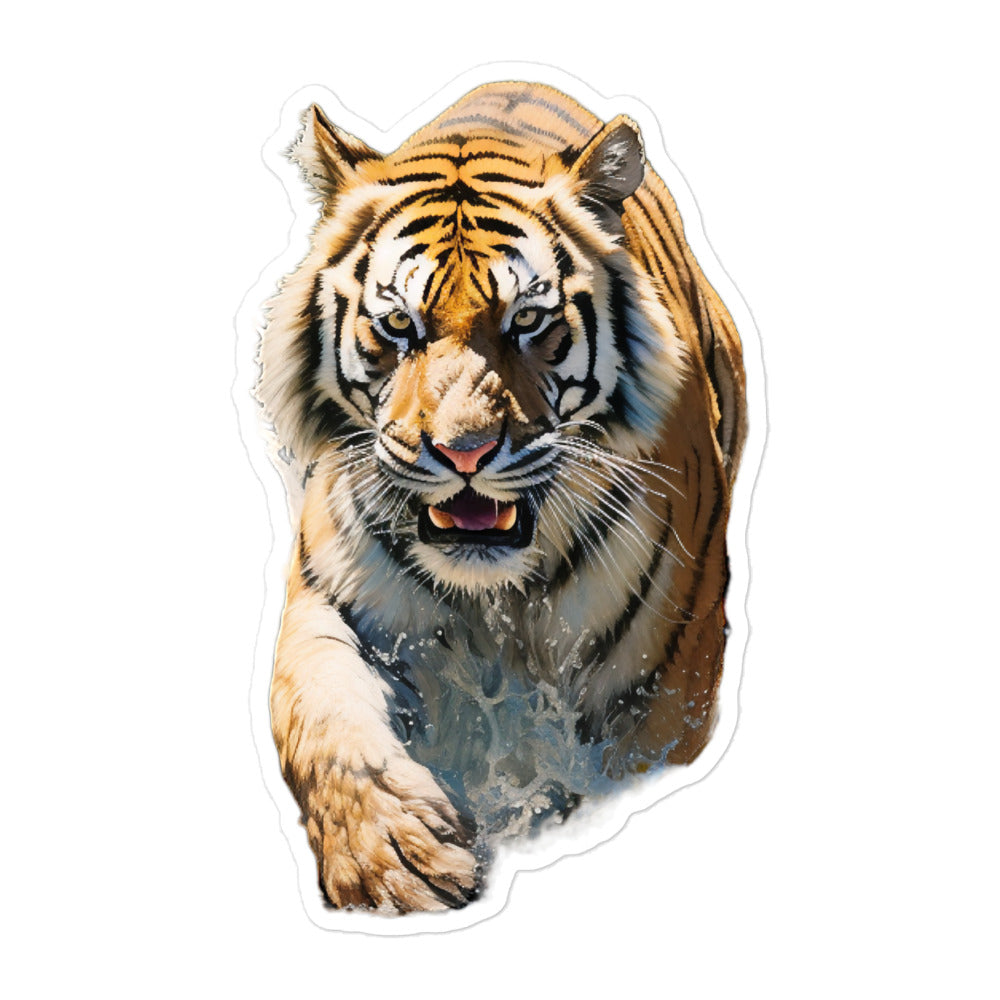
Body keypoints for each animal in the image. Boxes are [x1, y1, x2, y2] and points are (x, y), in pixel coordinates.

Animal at [256, 81, 747, 914]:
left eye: (528, 321)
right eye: (398, 324)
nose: (463, 452)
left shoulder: (663, 680)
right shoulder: (332, 597)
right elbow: (318, 713)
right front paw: (392, 861)